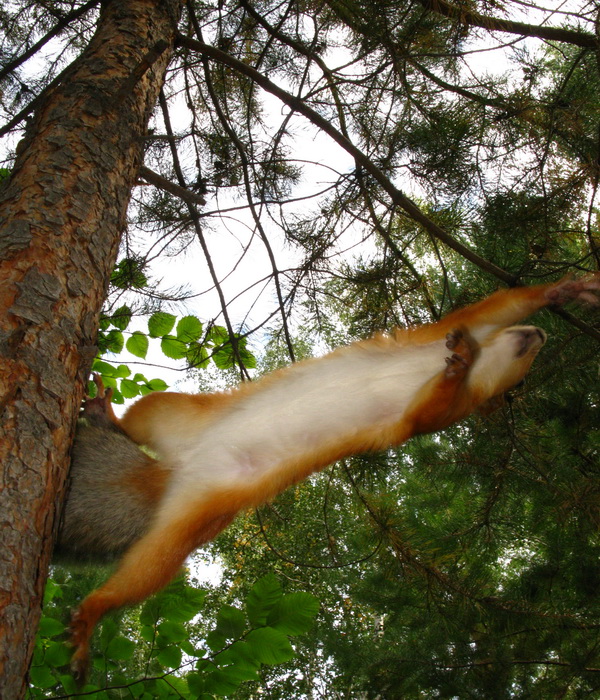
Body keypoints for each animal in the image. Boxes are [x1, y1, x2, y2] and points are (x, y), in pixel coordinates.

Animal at [63, 274, 596, 672]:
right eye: (531, 359)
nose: (542, 336)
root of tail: (178, 469)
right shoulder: (433, 337)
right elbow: (480, 315)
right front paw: (562, 290)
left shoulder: (440, 412)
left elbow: (426, 413)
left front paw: (460, 364)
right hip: (176, 416)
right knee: (142, 419)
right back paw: (106, 415)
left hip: (200, 510)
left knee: (152, 566)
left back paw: (94, 610)